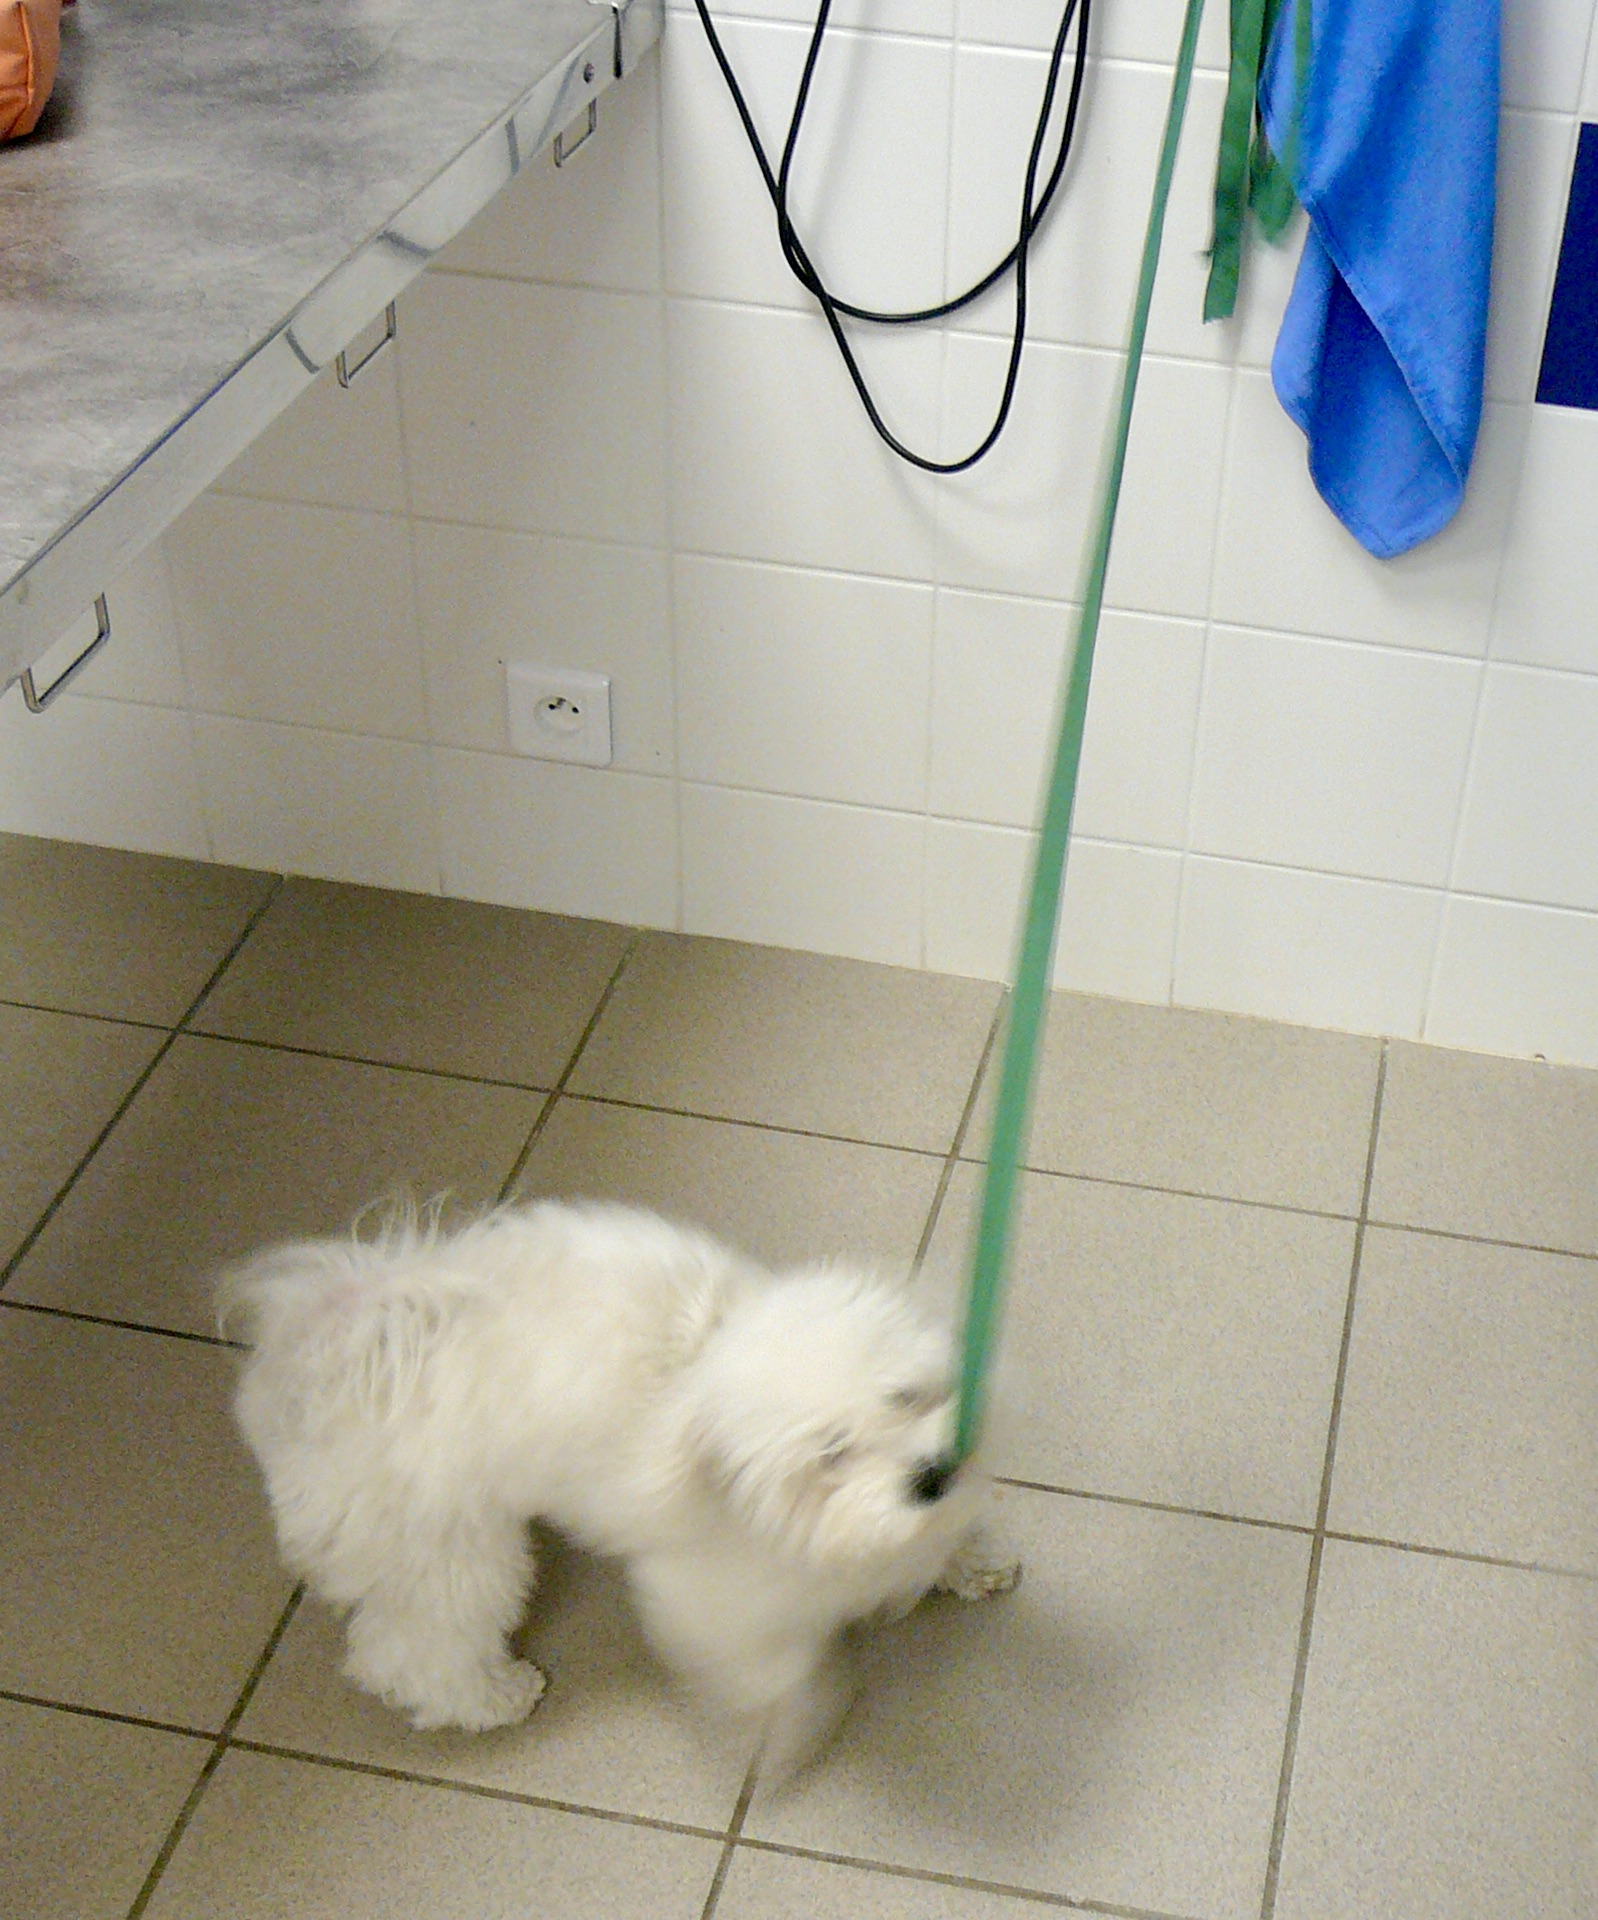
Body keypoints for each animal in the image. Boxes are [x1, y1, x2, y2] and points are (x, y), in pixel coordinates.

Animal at [222, 1199, 1019, 1768]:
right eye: (831, 1453)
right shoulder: (707, 1588)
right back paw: (495, 1695)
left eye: (905, 1397)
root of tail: (325, 1341)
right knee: (411, 1647)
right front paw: (798, 1725)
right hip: (444, 1547)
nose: (931, 1474)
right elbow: (771, 1668)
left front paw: (968, 1562)